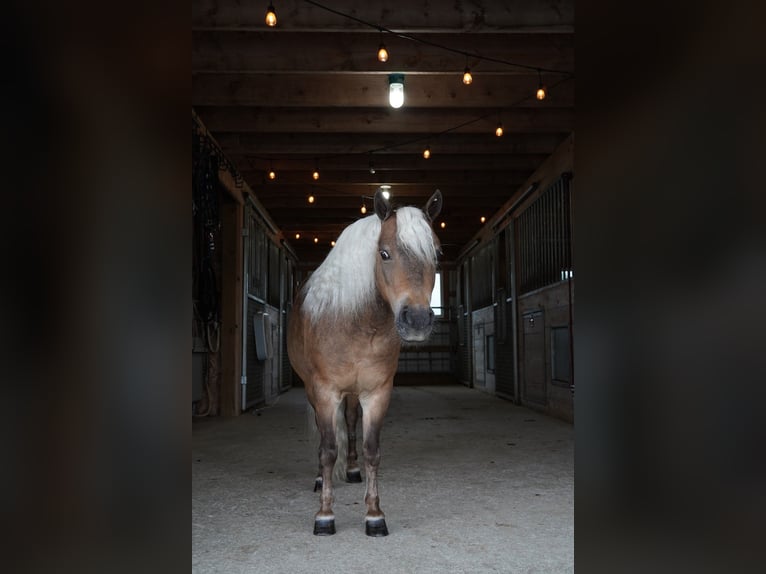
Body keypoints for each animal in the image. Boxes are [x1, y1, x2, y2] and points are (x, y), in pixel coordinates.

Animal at [287, 188, 443, 536]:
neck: (356, 324)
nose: (417, 320)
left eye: (437, 255)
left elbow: (372, 450)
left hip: (354, 394)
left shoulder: (377, 393)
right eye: (384, 253)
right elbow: (328, 450)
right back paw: (321, 479)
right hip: (315, 392)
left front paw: (374, 515)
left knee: (350, 421)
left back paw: (352, 469)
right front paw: (325, 516)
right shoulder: (325, 392)